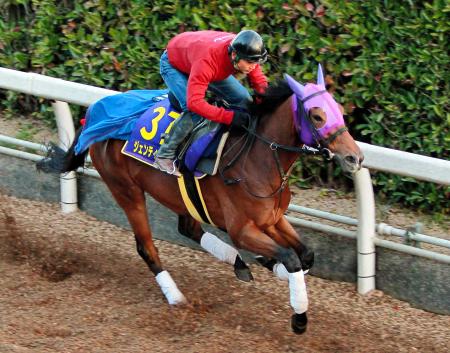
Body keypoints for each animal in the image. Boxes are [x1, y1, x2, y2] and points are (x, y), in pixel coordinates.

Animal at [37, 64, 362, 332]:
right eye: (317, 116)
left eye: (339, 109)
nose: (355, 158)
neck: (256, 157)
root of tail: (94, 110)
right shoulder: (242, 229)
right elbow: (292, 258)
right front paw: (299, 317)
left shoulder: (272, 218)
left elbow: (305, 254)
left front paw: (275, 267)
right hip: (125, 189)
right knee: (146, 246)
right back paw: (176, 296)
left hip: (179, 196)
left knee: (189, 228)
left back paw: (241, 262)